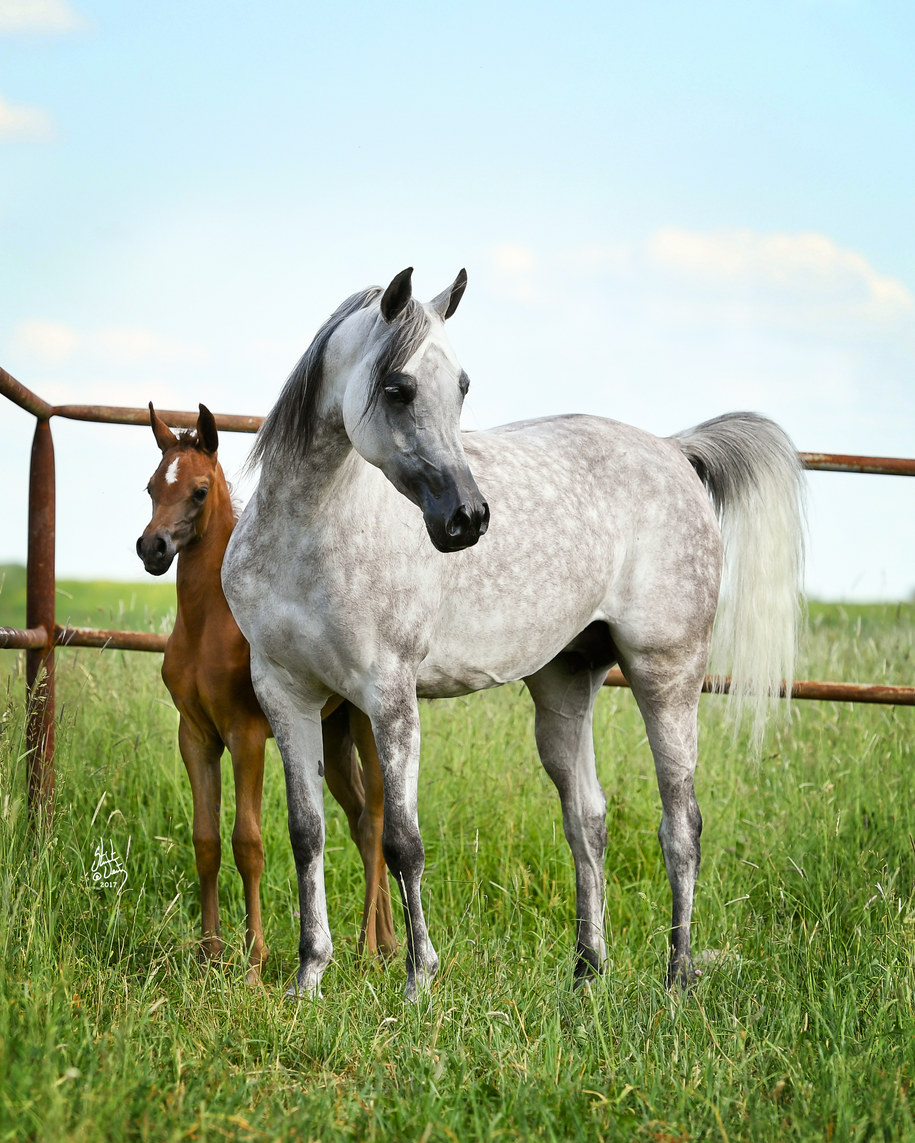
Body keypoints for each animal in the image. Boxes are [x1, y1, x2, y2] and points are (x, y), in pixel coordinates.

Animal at [135, 404, 392, 982]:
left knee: (376, 818)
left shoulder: (246, 734)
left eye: (200, 490)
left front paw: (253, 962)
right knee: (359, 819)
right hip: (331, 737)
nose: (152, 548)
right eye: (150, 487)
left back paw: (367, 949)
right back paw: (389, 943)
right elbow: (206, 841)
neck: (208, 626)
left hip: (364, 725)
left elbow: (247, 842)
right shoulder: (196, 737)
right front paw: (209, 953)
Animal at [222, 269, 808, 1001]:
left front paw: (418, 980)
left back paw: (677, 978)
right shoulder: (285, 692)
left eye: (462, 386)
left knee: (681, 826)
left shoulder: (389, 695)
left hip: (666, 676)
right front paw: (308, 976)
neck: (310, 535)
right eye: (398, 388)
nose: (467, 518)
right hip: (564, 684)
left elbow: (402, 842)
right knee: (587, 822)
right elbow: (306, 833)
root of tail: (675, 451)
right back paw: (587, 971)